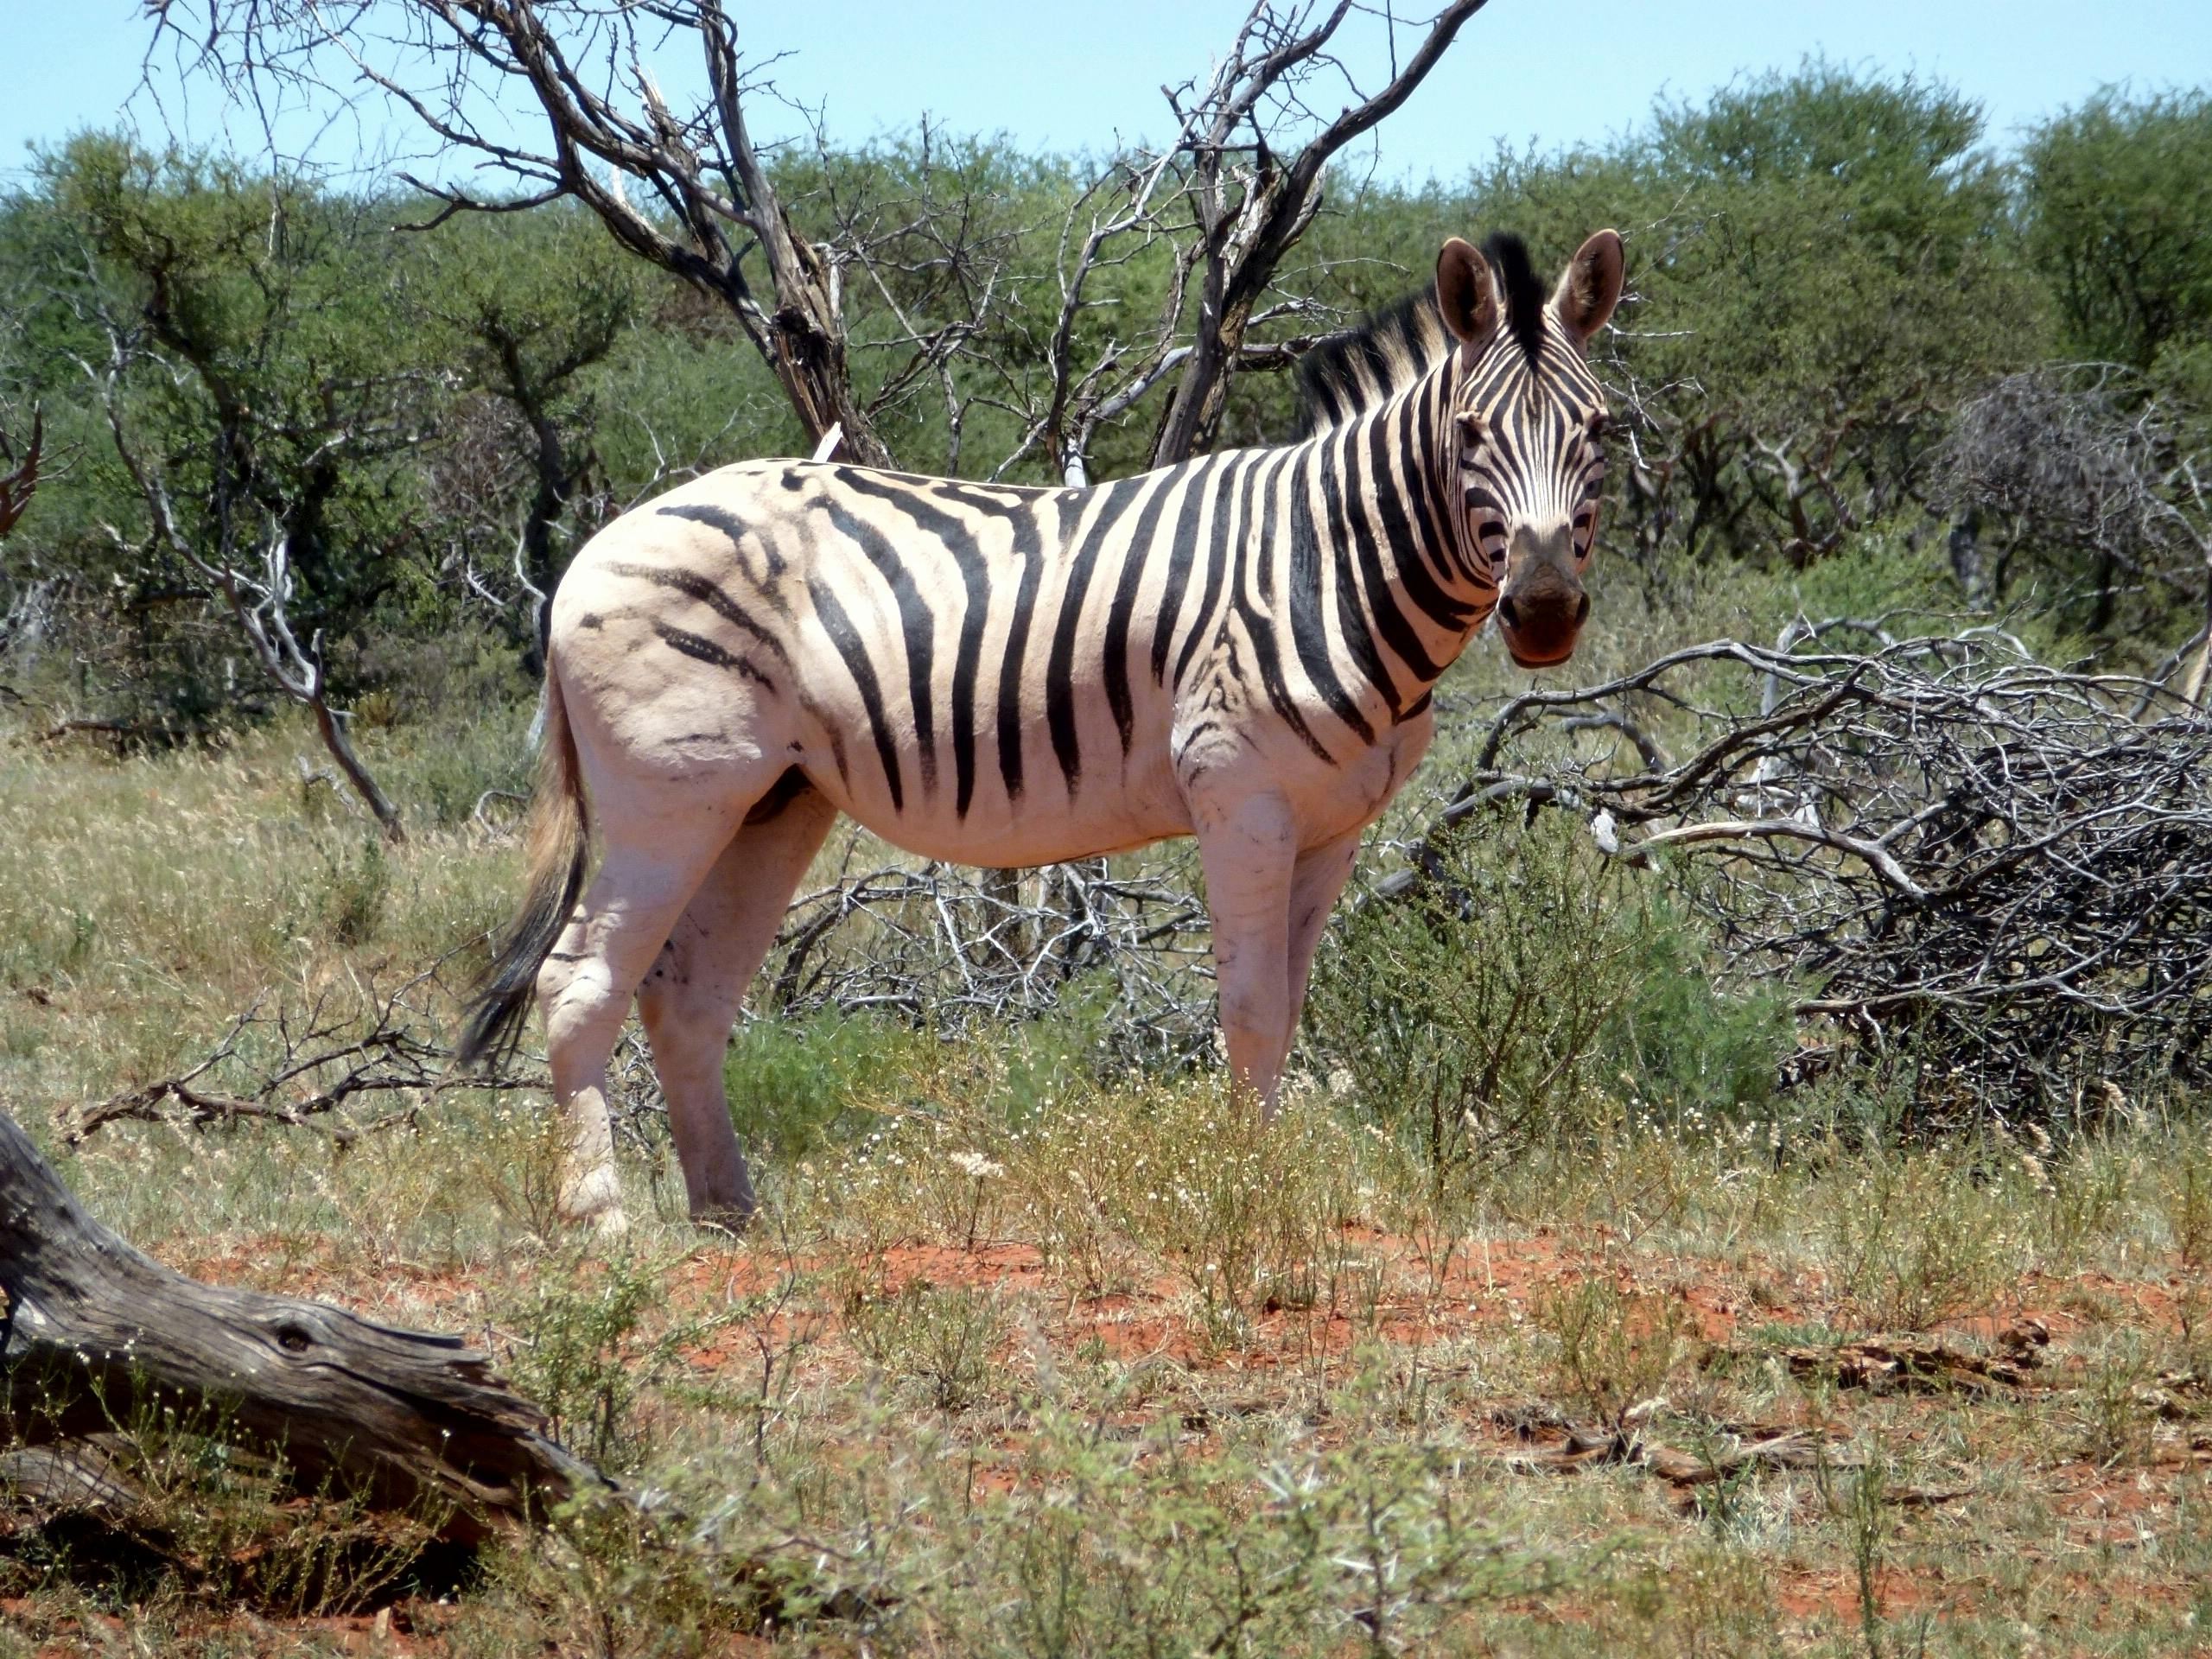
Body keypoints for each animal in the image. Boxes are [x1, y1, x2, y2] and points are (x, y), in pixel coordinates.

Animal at [457, 227, 1628, 1230]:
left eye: (1600, 430)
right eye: (1470, 433)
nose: (1543, 611)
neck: (1325, 560)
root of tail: (595, 549)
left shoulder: (1335, 822)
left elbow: (1289, 1009)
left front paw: (1273, 1175)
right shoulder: (1239, 795)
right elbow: (1249, 1009)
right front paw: (1249, 1194)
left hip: (769, 800)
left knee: (687, 994)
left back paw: (729, 1214)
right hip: (666, 798)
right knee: (578, 980)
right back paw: (602, 1220)